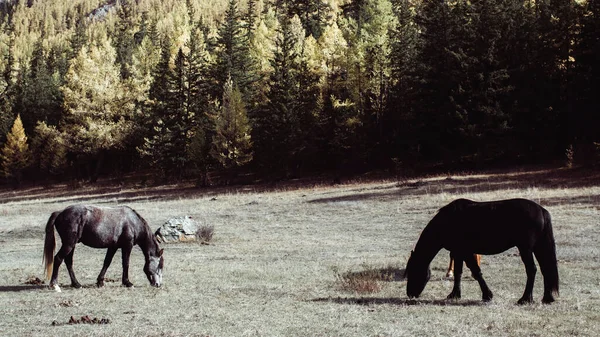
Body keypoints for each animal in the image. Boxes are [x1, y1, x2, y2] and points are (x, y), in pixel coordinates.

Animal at [406, 198, 560, 304]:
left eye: (413, 271)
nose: (410, 294)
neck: (448, 221)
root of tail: (541, 210)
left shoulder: (466, 252)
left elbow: (476, 271)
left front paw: (487, 295)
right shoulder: (458, 252)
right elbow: (458, 273)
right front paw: (454, 295)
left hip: (525, 249)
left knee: (531, 270)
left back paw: (525, 299)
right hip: (538, 248)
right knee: (545, 269)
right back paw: (547, 298)